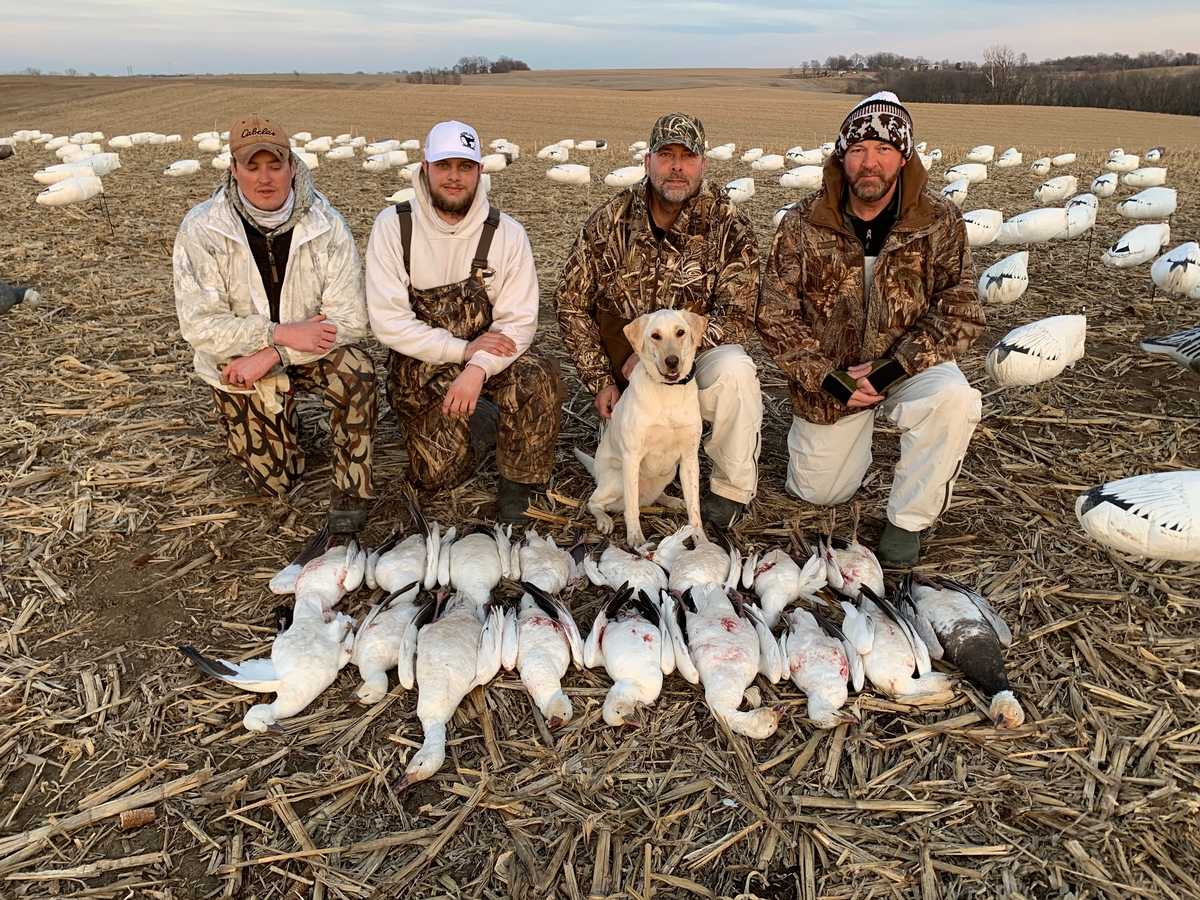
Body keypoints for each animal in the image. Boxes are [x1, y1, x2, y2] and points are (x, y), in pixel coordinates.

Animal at [578, 309, 700, 547]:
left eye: (680, 332)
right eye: (655, 336)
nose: (672, 361)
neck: (668, 391)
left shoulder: (690, 459)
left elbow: (695, 510)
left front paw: (703, 541)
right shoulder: (632, 457)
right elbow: (632, 508)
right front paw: (635, 539)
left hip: (670, 471)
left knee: (653, 496)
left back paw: (671, 500)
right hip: (617, 477)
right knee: (595, 502)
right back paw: (604, 520)